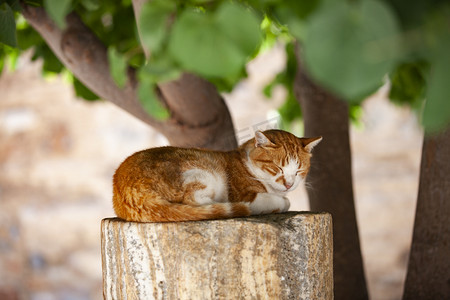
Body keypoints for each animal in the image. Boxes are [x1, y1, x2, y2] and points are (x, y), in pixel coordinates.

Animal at [114, 129, 322, 223]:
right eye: (277, 168)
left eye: (299, 171)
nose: (289, 184)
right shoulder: (247, 196)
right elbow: (284, 202)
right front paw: (281, 202)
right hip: (201, 174)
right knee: (193, 201)